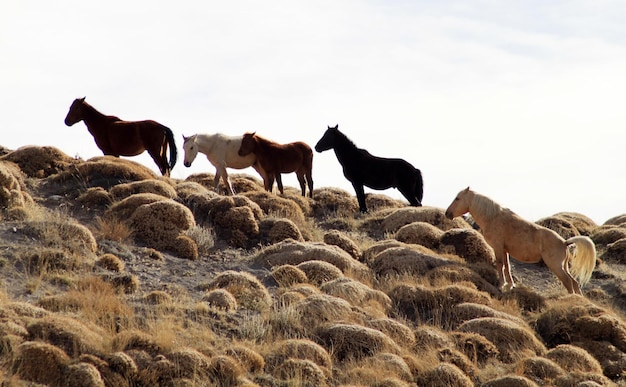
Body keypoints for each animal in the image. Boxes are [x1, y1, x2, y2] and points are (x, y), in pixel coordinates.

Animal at [444, 186, 596, 296]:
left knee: (568, 282)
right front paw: (510, 285)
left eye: (457, 198)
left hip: (556, 266)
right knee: (574, 282)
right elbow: (507, 267)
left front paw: (501, 285)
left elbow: (500, 265)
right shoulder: (505, 250)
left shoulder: (498, 247)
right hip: (564, 266)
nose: (447, 213)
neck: (493, 217)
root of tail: (564, 242)